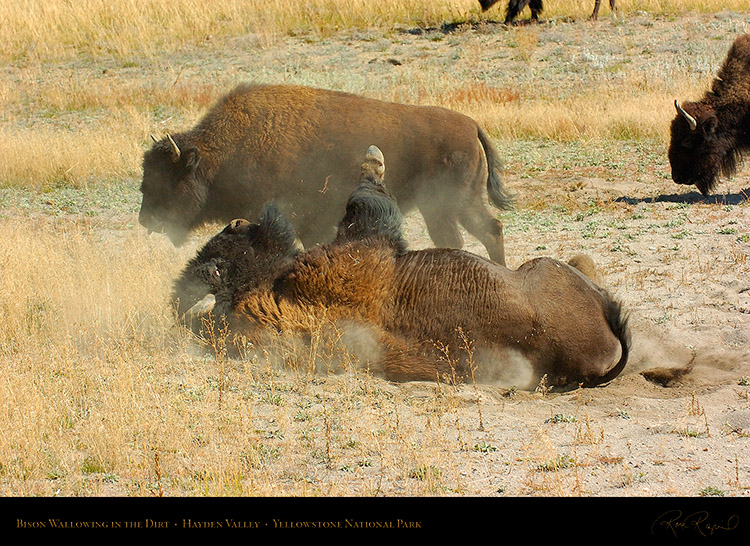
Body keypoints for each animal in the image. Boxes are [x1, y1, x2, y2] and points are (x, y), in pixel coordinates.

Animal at [140, 82, 516, 264]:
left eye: (166, 179)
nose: (146, 219)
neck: (220, 154)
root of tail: (471, 125)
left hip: (448, 204)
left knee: (473, 234)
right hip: (453, 204)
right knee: (483, 232)